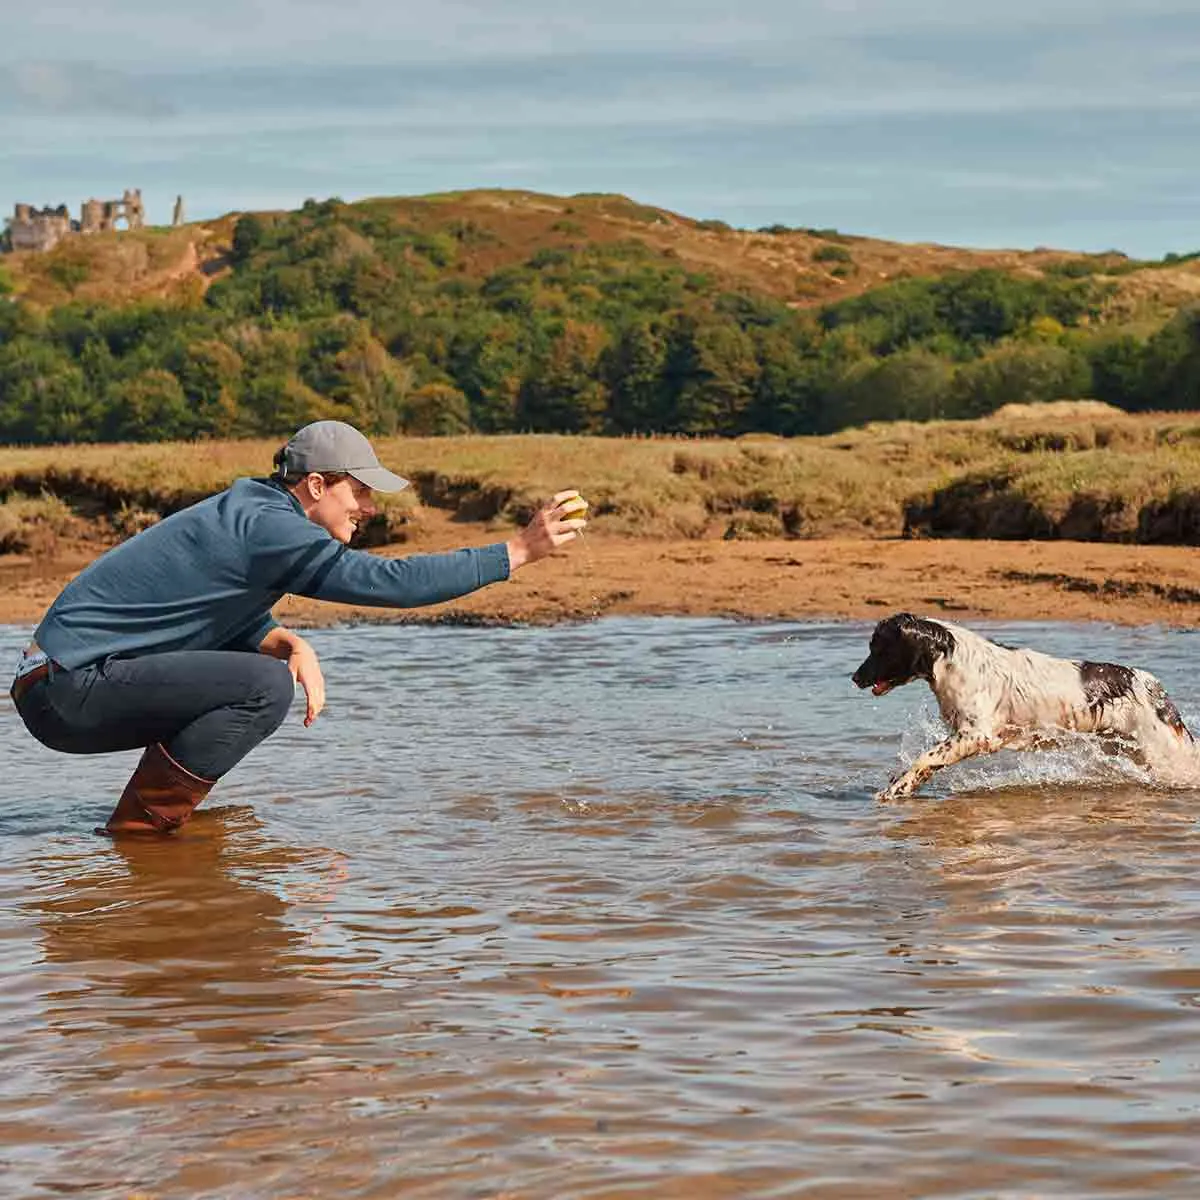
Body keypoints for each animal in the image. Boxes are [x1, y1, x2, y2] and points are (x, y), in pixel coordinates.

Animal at [849, 614, 1195, 801]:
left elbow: (925, 758)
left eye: (878, 648)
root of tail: (1151, 686)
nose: (855, 677)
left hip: (1162, 754)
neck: (951, 659)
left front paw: (895, 789)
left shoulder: (976, 734)